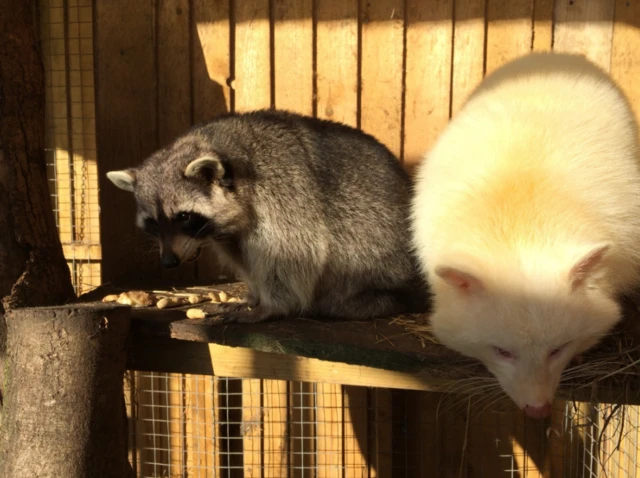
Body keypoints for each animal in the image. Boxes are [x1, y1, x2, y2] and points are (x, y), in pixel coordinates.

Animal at [106, 110, 430, 324]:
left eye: (184, 216)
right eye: (152, 223)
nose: (169, 261)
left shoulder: (284, 191)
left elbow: (294, 252)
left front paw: (272, 306)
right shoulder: (225, 233)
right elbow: (242, 255)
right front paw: (255, 294)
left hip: (381, 257)